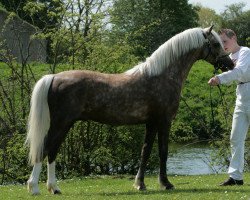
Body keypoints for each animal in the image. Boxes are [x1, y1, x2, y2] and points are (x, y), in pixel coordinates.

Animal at [25, 25, 234, 195]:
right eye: (216, 43)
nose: (230, 64)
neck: (162, 75)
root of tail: (54, 77)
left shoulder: (151, 123)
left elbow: (145, 152)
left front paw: (140, 184)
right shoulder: (164, 121)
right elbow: (163, 152)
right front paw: (166, 184)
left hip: (63, 124)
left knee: (52, 151)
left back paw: (53, 188)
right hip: (61, 123)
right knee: (46, 149)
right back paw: (36, 188)